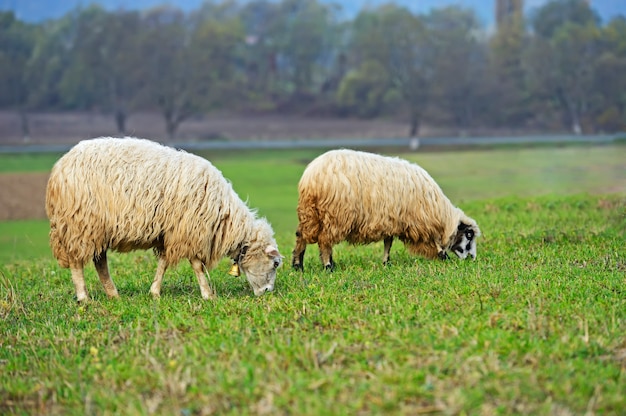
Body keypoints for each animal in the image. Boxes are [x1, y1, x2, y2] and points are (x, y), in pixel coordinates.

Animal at [42, 138, 280, 300]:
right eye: (275, 263)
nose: (268, 292)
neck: (224, 217)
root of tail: (60, 166)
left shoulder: (170, 232)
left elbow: (163, 263)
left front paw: (154, 291)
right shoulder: (189, 229)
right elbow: (197, 265)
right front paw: (207, 294)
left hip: (97, 228)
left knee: (100, 261)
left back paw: (113, 294)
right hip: (80, 223)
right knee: (77, 261)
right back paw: (84, 297)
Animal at [292, 150, 478, 270]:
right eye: (469, 235)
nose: (472, 259)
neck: (440, 212)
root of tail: (311, 176)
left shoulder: (392, 221)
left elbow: (388, 243)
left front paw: (386, 262)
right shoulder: (420, 221)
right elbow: (435, 242)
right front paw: (443, 256)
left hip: (310, 213)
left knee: (301, 235)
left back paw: (298, 265)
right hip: (335, 215)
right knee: (324, 240)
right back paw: (328, 266)